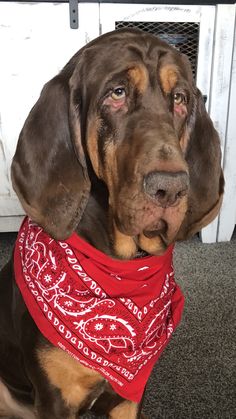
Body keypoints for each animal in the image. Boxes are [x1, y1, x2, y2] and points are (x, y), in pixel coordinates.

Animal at [0, 27, 224, 418]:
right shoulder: (55, 399)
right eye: (117, 92)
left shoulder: (127, 401)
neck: (120, 270)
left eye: (180, 98)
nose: (171, 187)